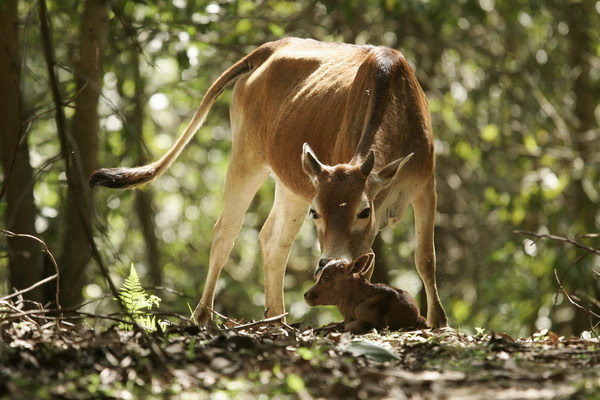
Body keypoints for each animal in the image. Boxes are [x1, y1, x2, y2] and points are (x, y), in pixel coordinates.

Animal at [88, 36, 446, 328]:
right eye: (317, 213)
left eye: (364, 211)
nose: (327, 261)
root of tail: (269, 48)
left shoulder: (426, 186)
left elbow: (425, 258)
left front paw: (438, 321)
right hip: (247, 156)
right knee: (226, 232)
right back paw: (204, 316)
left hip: (292, 185)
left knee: (274, 242)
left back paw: (277, 318)